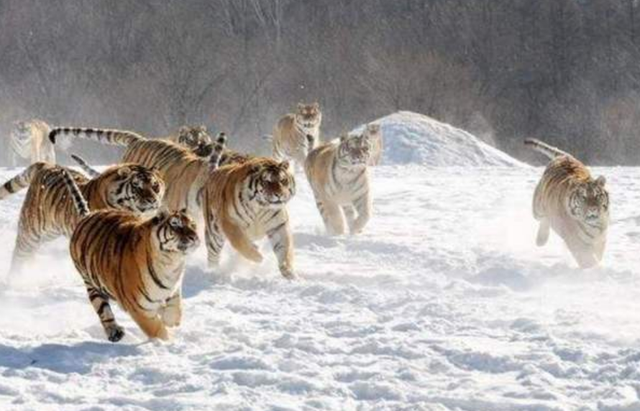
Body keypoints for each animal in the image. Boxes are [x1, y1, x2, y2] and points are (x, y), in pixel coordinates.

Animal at [0, 161, 165, 274]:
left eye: (155, 186)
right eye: (137, 187)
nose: (153, 200)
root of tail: (46, 164)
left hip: (48, 233)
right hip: (31, 231)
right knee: (19, 254)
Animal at [60, 169, 199, 342]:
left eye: (193, 225)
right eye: (176, 225)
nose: (194, 237)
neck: (171, 261)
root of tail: (87, 216)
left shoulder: (173, 291)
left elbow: (174, 313)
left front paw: (170, 320)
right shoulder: (139, 308)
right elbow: (157, 331)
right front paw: (166, 342)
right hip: (91, 283)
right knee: (102, 309)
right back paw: (114, 332)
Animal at [202, 140, 297, 279]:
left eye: (283, 180)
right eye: (267, 182)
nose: (279, 194)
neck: (260, 206)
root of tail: (214, 172)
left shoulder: (278, 225)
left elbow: (285, 249)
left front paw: (289, 272)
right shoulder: (229, 221)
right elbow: (240, 242)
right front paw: (257, 257)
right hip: (214, 233)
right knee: (213, 255)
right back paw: (212, 271)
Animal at [525, 138, 609, 268]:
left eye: (597, 195)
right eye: (583, 197)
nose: (593, 209)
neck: (594, 226)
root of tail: (564, 156)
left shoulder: (600, 239)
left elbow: (597, 255)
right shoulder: (575, 241)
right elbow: (588, 259)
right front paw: (595, 269)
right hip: (537, 209)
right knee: (543, 219)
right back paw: (541, 240)